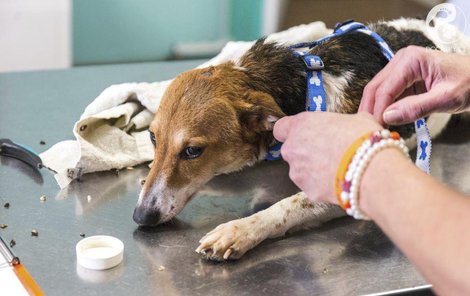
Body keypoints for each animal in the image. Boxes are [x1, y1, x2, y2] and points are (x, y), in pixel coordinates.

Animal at [132, 19, 466, 262]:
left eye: (193, 150)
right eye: (152, 136)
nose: (141, 216)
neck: (304, 90)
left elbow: (286, 206)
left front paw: (239, 230)